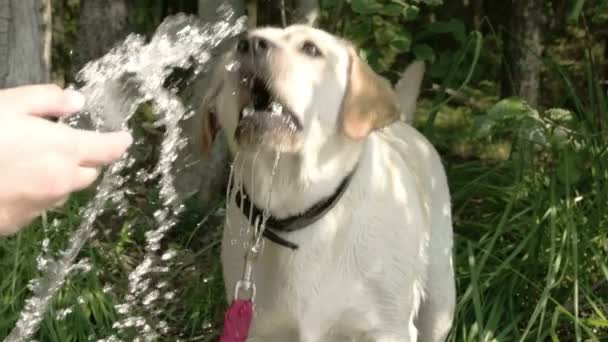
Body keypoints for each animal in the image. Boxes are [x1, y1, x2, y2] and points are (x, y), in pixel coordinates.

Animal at [200, 24, 456, 342]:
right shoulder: (257, 327)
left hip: (440, 298)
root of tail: (403, 124)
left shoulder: (388, 328)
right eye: (238, 46)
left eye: (310, 48)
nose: (250, 45)